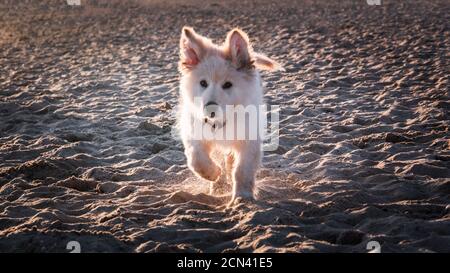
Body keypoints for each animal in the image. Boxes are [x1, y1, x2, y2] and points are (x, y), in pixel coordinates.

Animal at [177, 26, 280, 203]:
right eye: (203, 83)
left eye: (227, 85)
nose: (209, 109)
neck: (221, 121)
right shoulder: (194, 131)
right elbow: (196, 159)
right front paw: (213, 174)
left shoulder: (249, 141)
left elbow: (242, 171)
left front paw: (242, 197)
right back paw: (217, 186)